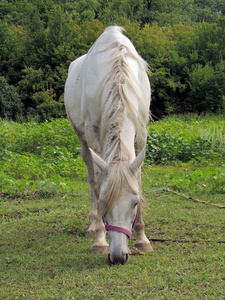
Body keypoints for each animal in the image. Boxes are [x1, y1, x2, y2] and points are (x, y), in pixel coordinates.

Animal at [64, 26, 153, 264]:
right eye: (104, 201)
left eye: (134, 203)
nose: (119, 256)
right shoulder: (92, 134)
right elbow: (97, 182)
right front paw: (99, 240)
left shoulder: (141, 134)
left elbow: (138, 180)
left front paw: (142, 238)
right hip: (83, 140)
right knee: (91, 177)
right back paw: (92, 225)